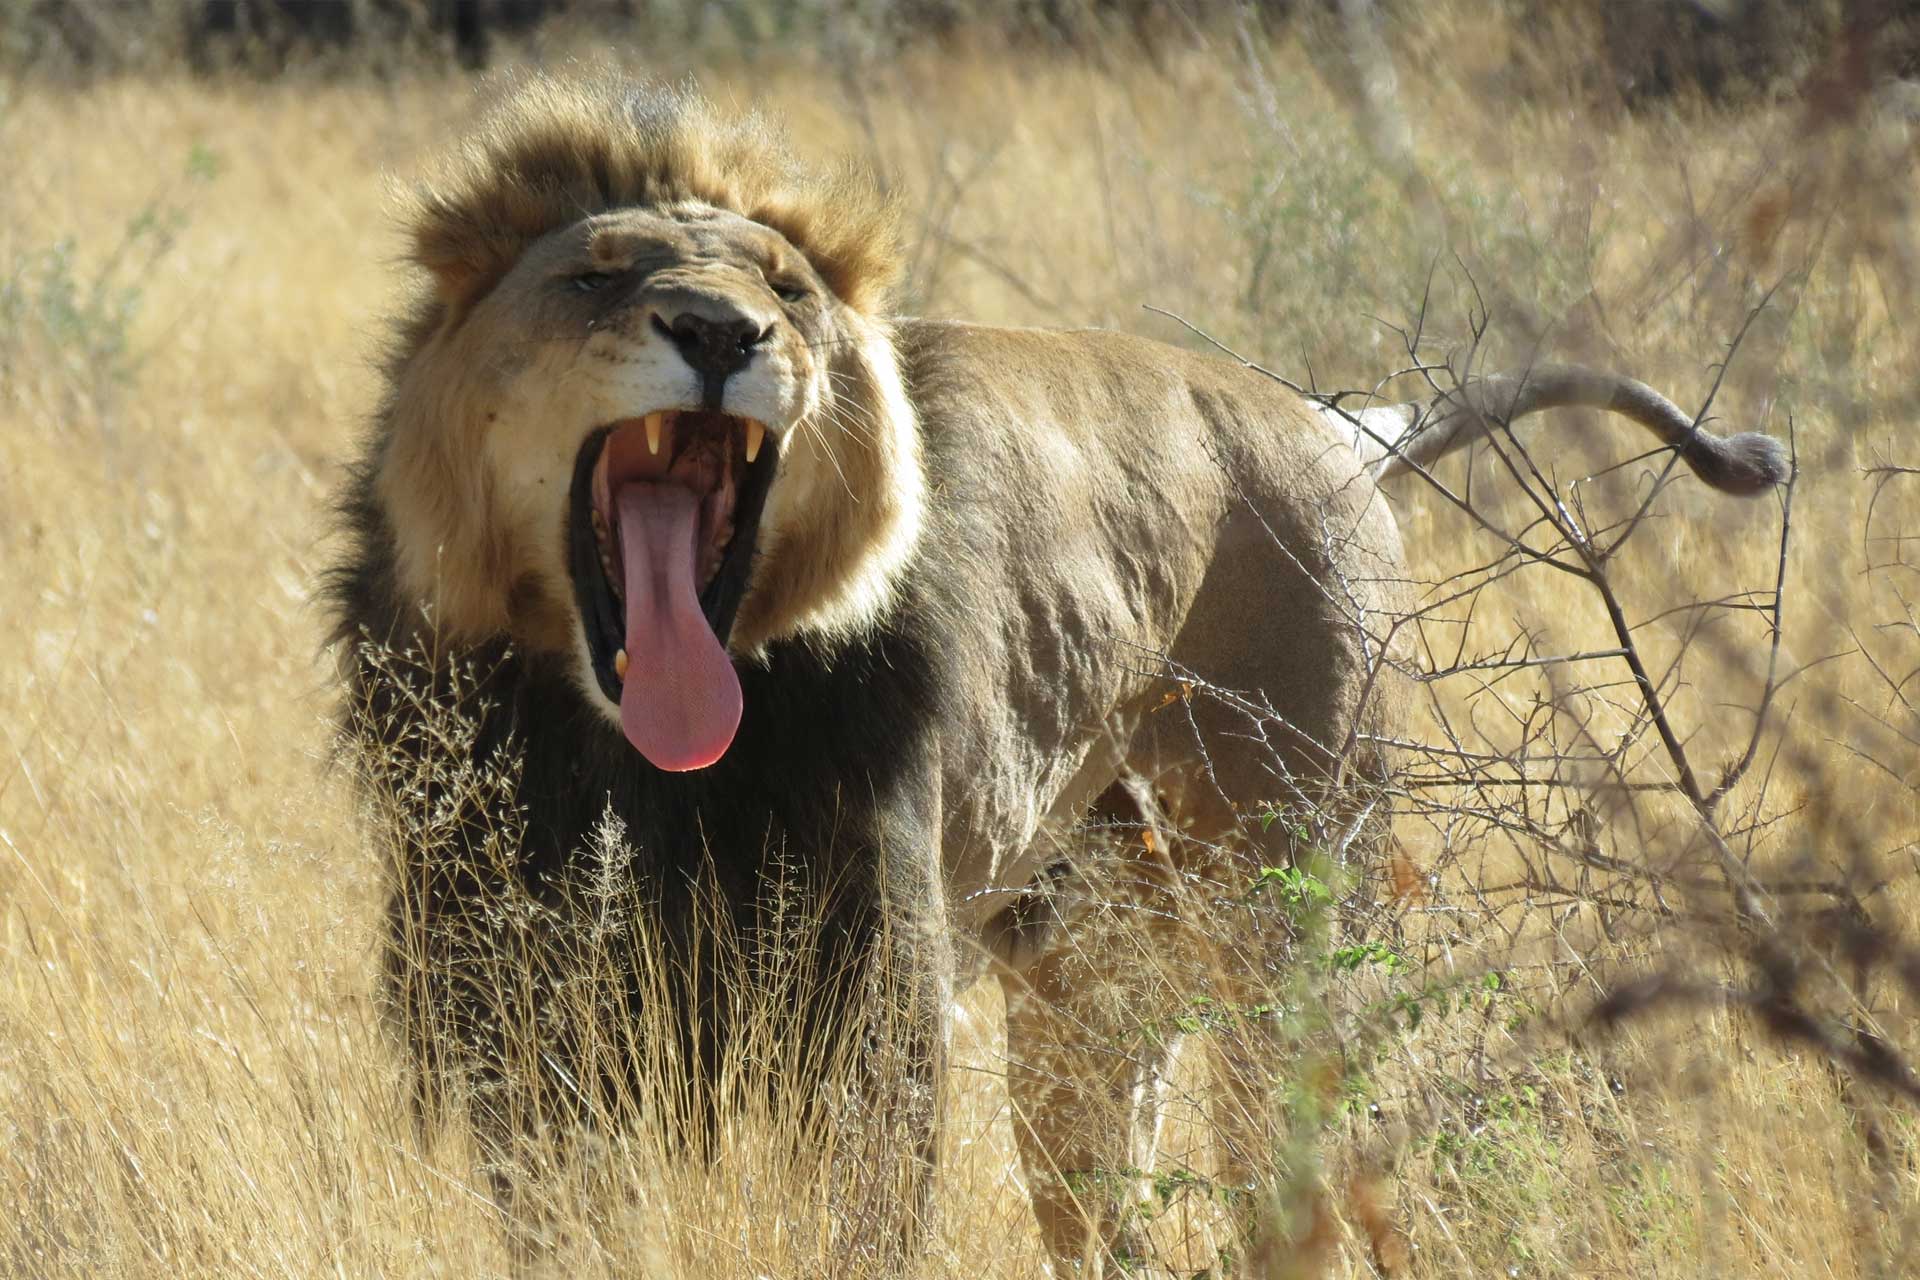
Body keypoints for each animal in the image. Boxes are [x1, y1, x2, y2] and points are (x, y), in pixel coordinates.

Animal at [328, 76, 1787, 1274]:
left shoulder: (873, 1009)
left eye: (788, 291)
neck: (636, 758)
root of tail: (1333, 421)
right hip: (1088, 998)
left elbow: (857, 1228)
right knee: (1118, 1226)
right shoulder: (516, 1016)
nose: (721, 332)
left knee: (1300, 1196)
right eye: (597, 276)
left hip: (1290, 925)